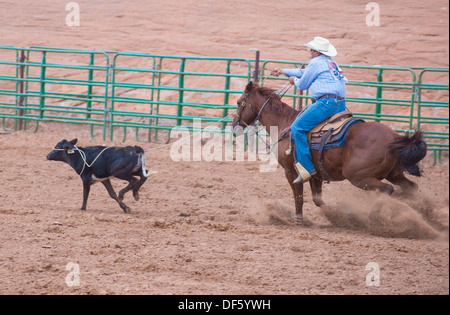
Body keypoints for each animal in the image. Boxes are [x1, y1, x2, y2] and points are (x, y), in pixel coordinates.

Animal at [230, 81, 428, 225]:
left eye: (239, 103)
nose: (233, 127)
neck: (284, 123)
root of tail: (394, 137)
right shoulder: (316, 174)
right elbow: (318, 200)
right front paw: (339, 216)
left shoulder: (291, 172)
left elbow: (299, 197)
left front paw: (299, 221)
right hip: (393, 173)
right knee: (410, 187)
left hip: (357, 175)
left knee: (387, 189)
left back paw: (374, 218)